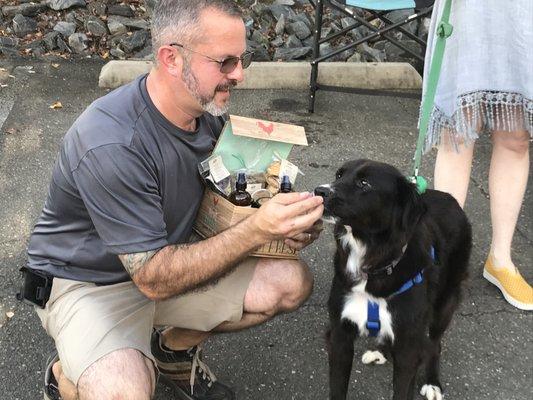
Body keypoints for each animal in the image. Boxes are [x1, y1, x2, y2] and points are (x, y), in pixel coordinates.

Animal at [314, 160, 472, 400]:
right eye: (339, 175)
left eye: (364, 183)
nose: (319, 191)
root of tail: (451, 199)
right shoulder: (340, 336)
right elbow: (338, 388)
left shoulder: (409, 349)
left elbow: (403, 388)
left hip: (444, 304)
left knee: (434, 344)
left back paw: (432, 381)